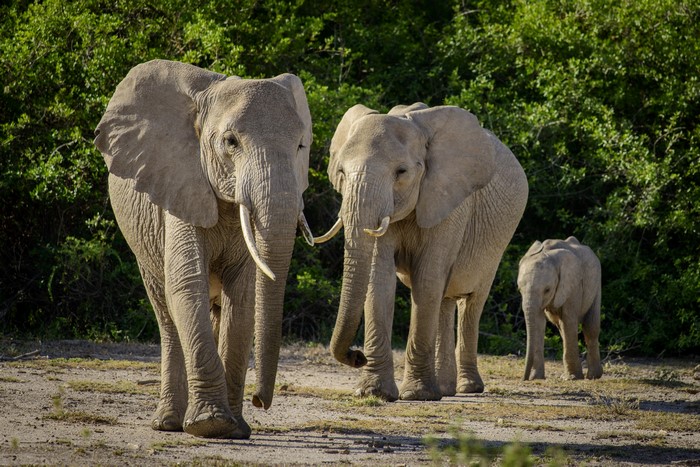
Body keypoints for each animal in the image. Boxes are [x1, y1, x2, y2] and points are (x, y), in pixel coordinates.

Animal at [94, 59, 313, 438]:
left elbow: (242, 295)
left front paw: (233, 428)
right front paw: (210, 425)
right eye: (230, 141)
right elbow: (186, 284)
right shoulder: (179, 185)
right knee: (166, 314)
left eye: (302, 145)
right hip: (143, 248)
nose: (260, 400)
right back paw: (168, 424)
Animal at [314, 102, 528, 401]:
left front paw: (417, 395)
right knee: (444, 300)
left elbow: (427, 280)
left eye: (401, 172)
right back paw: (446, 389)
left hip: (497, 244)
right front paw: (374, 393)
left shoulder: (450, 201)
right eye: (342, 173)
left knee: (471, 302)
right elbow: (379, 278)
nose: (357, 356)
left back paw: (467, 388)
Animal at [517, 236, 603, 381]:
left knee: (590, 327)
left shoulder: (573, 285)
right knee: (562, 329)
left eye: (547, 290)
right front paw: (536, 377)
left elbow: (569, 321)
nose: (524, 378)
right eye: (519, 289)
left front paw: (573, 378)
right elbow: (538, 322)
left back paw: (593, 376)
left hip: (597, 283)